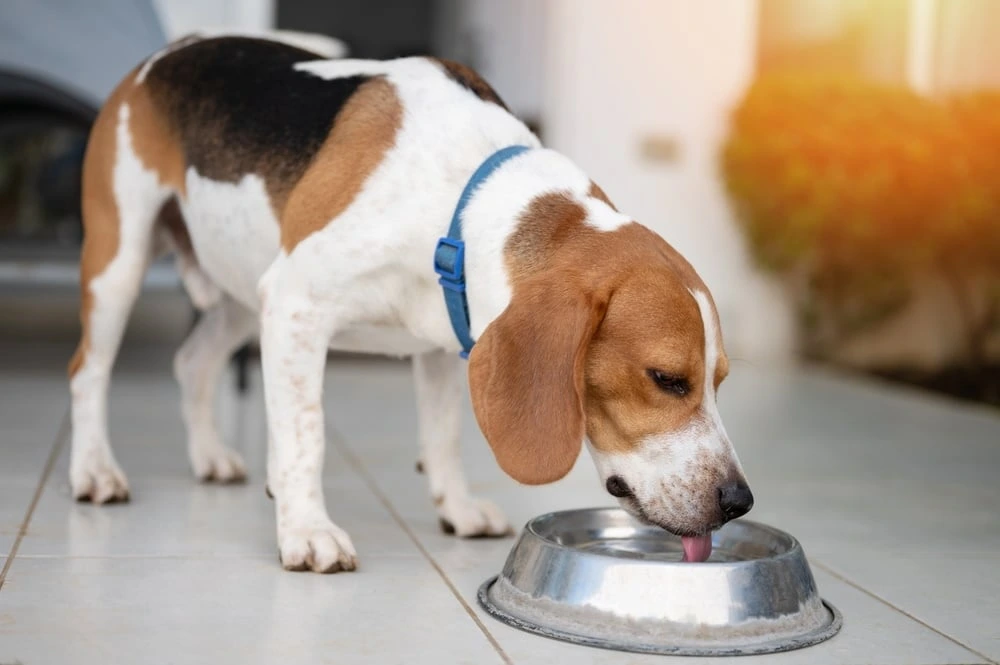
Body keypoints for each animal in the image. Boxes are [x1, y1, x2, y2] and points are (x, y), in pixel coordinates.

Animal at [68, 33, 752, 572]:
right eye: (665, 379)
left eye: (720, 381)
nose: (738, 501)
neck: (462, 199)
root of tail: (167, 52)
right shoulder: (296, 305)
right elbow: (306, 433)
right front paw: (307, 529)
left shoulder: (447, 335)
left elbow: (443, 438)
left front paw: (456, 507)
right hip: (121, 264)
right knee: (88, 371)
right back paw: (94, 471)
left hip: (245, 287)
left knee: (193, 362)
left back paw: (209, 456)